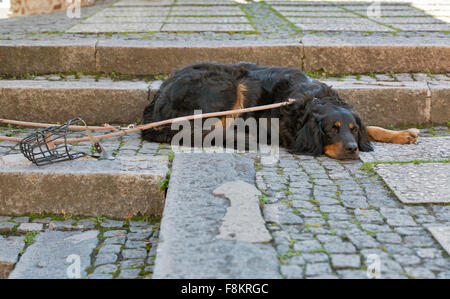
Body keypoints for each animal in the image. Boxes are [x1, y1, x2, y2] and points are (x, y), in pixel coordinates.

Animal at [142, 62, 420, 161]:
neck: (312, 99)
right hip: (228, 84)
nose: (352, 149)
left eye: (352, 130)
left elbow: (370, 127)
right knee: (202, 130)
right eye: (332, 130)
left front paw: (402, 134)